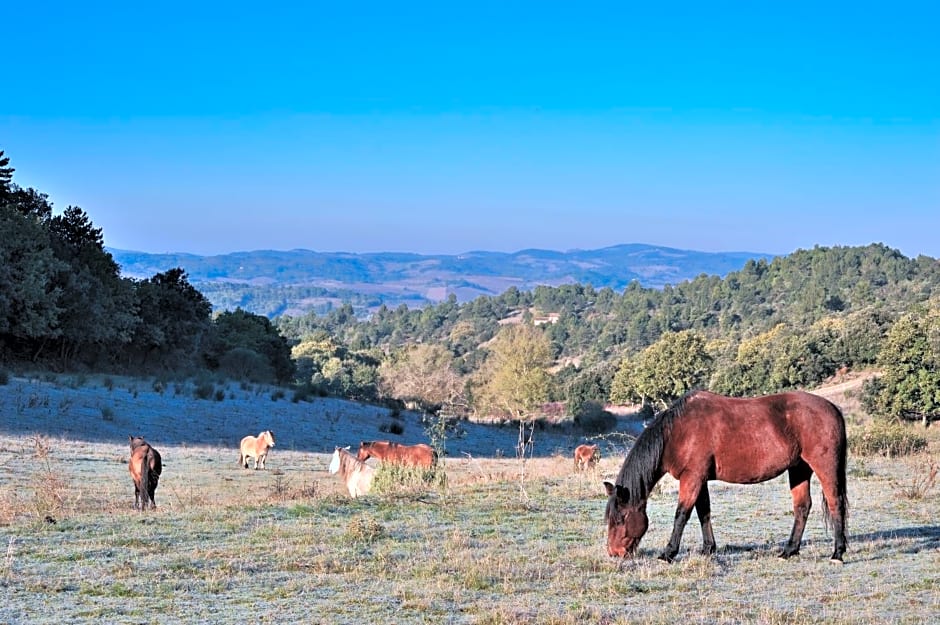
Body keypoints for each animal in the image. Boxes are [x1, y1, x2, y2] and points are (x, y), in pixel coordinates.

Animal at [604, 390, 848, 560]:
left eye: (621, 518)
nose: (614, 552)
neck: (677, 433)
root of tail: (832, 408)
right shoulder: (699, 479)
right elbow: (703, 513)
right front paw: (708, 549)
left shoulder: (691, 478)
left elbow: (681, 514)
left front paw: (668, 553)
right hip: (799, 469)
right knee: (802, 507)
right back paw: (789, 551)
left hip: (824, 466)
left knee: (835, 502)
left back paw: (837, 552)